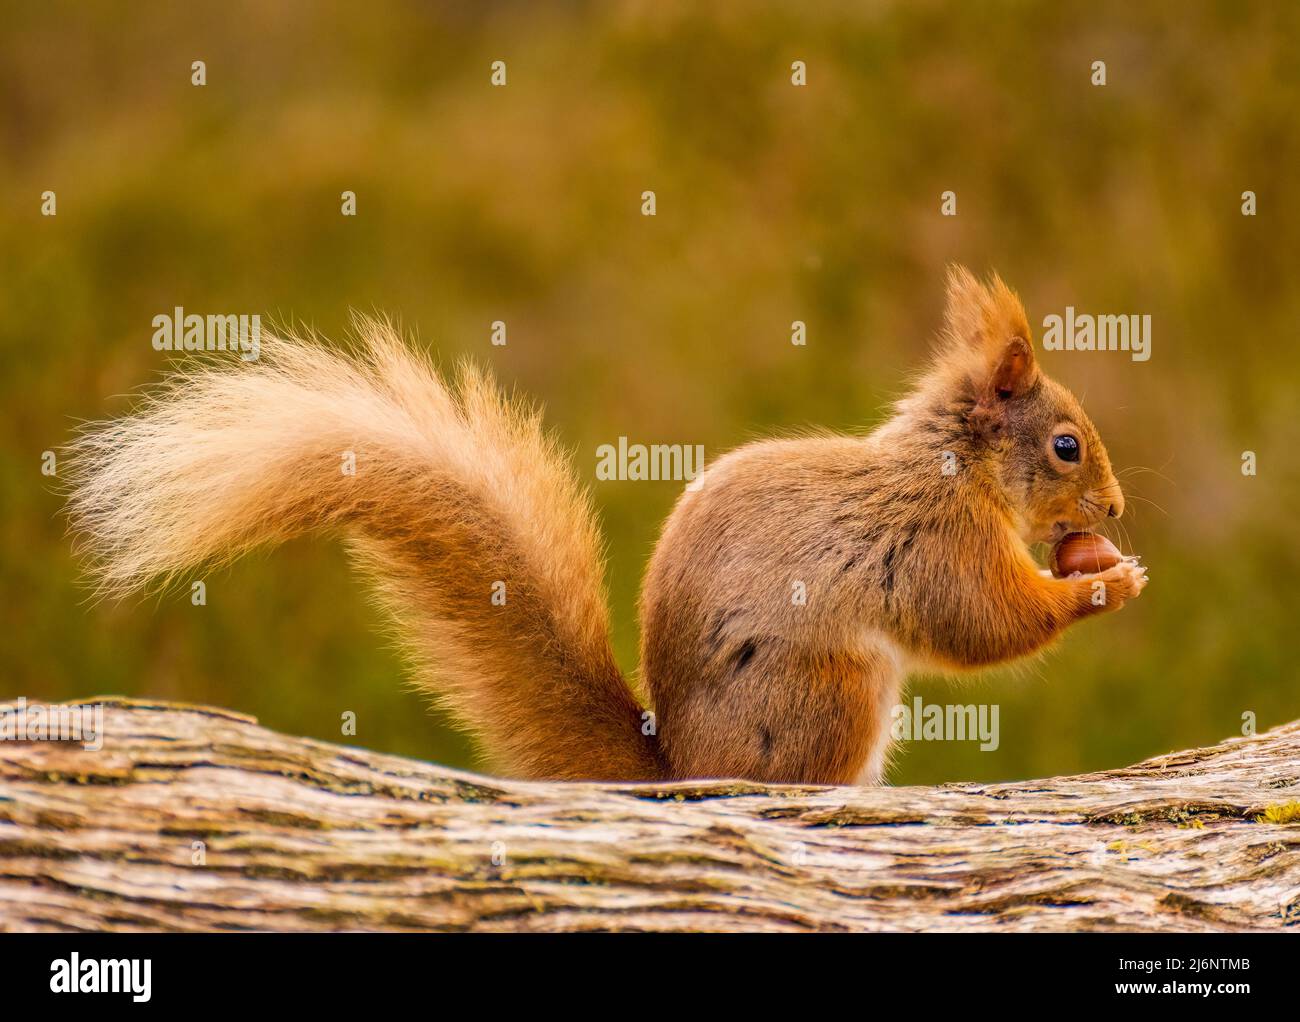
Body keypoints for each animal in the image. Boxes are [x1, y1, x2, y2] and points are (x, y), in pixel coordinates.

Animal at [67, 266, 1147, 786]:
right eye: (1064, 446)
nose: (1116, 511)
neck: (953, 465)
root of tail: (681, 768)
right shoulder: (935, 542)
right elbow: (987, 625)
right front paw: (1105, 583)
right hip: (832, 689)